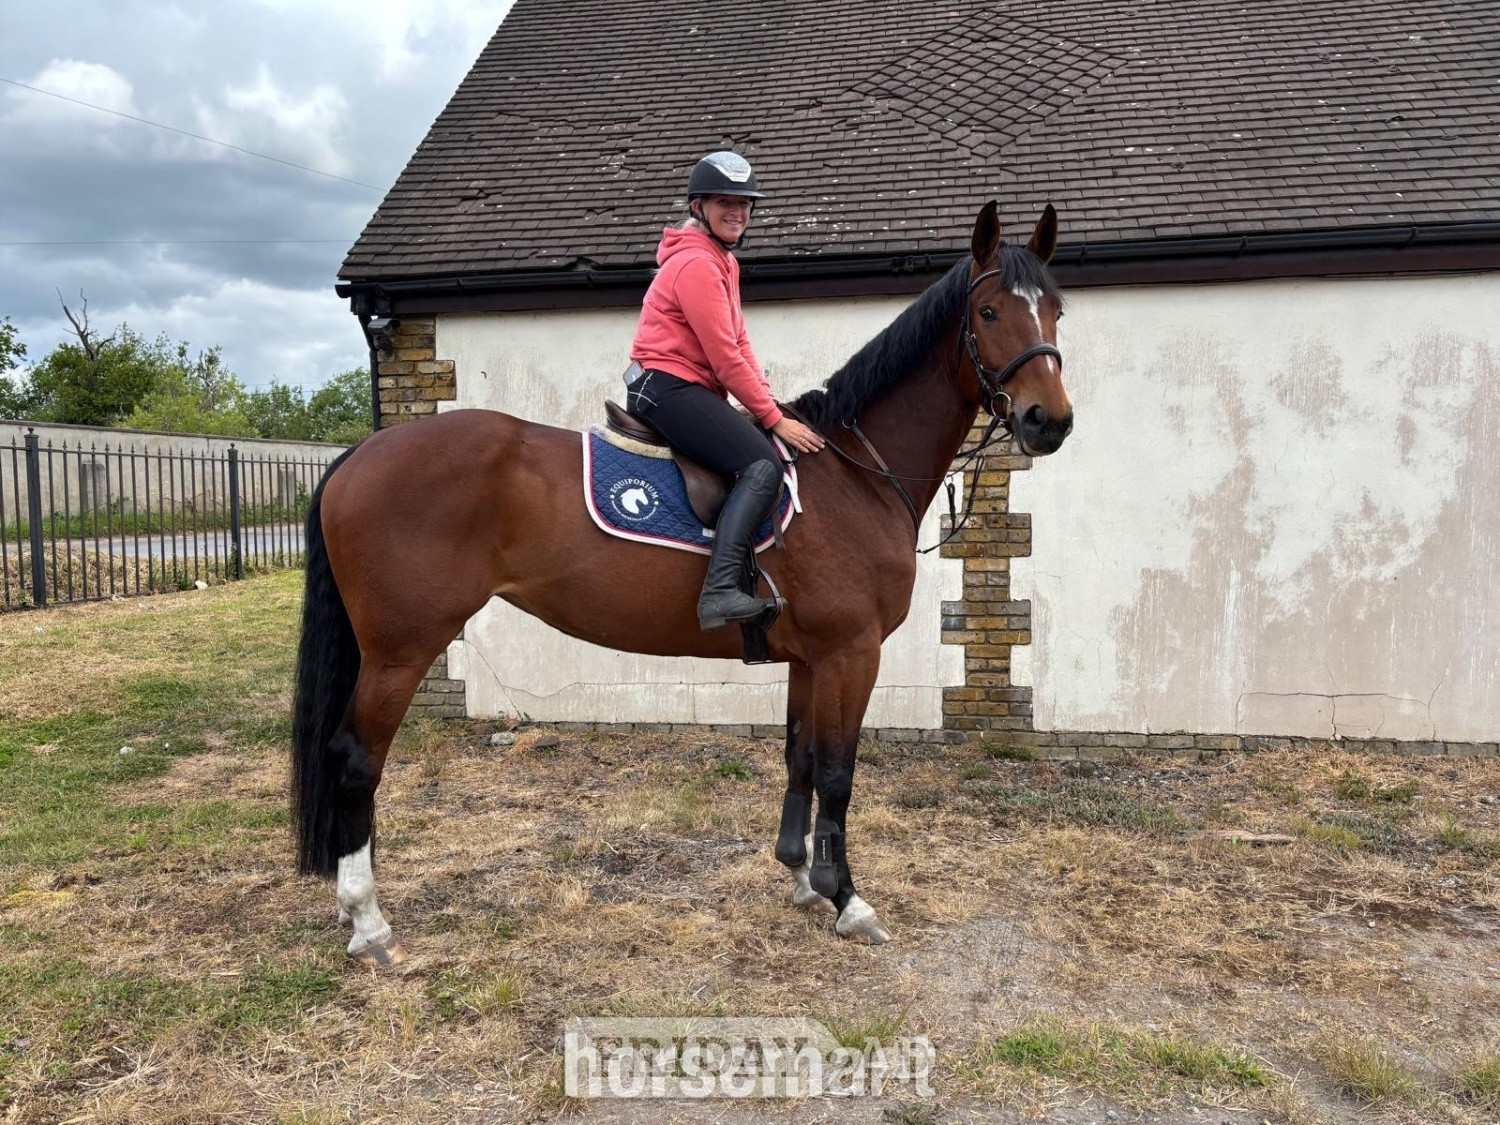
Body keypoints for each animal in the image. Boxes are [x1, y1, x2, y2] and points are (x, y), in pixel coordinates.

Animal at [291, 201, 1073, 966]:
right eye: (991, 311)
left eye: (1057, 309)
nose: (1051, 421)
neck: (855, 472)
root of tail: (361, 453)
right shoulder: (851, 653)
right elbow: (838, 773)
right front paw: (848, 899)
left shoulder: (810, 658)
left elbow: (799, 758)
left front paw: (800, 877)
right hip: (399, 650)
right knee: (356, 759)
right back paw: (368, 920)